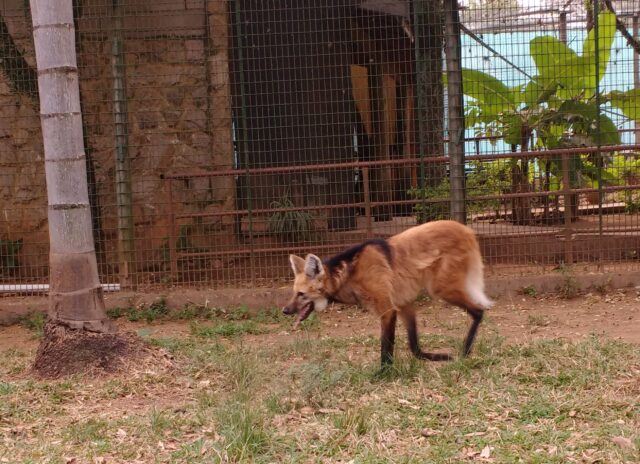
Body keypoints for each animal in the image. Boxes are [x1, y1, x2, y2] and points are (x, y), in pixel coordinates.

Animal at [283, 220, 493, 366]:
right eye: (294, 293)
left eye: (301, 294)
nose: (285, 310)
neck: (348, 274)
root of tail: (466, 229)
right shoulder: (403, 303)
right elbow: (414, 345)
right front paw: (433, 357)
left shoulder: (387, 309)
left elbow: (386, 346)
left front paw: (383, 373)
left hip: (441, 288)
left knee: (478, 311)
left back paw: (465, 352)